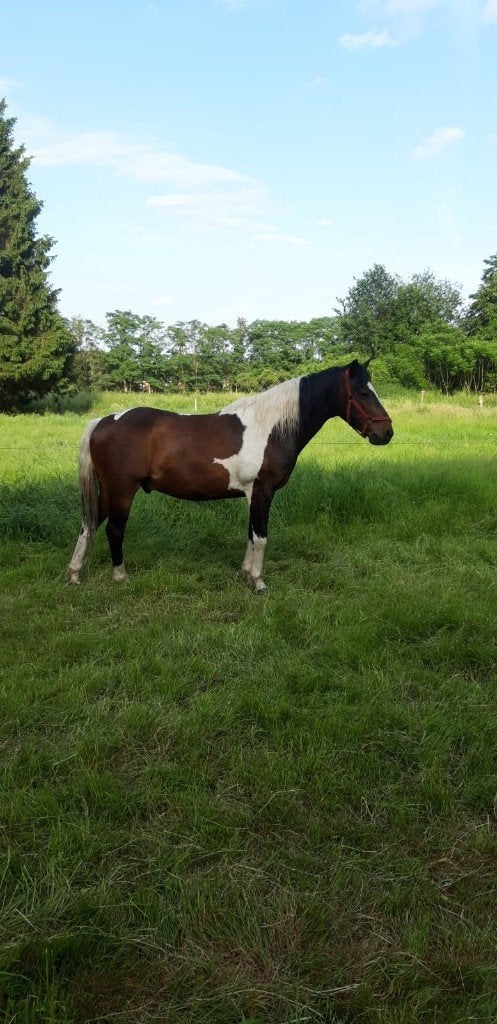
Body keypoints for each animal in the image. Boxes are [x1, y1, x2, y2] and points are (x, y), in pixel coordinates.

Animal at [68, 359, 393, 591]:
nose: (386, 433)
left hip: (108, 491)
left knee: (88, 526)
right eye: (363, 392)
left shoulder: (252, 494)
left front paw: (246, 574)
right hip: (123, 490)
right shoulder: (262, 491)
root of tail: (102, 421)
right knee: (113, 530)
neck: (270, 427)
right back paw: (120, 577)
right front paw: (258, 582)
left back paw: (74, 574)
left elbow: (250, 534)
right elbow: (261, 537)